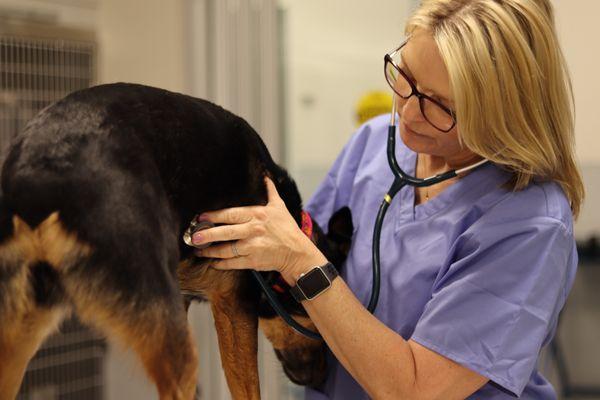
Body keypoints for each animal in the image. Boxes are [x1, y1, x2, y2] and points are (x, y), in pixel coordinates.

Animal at [0, 83, 352, 398]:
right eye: (318, 325)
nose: (320, 382)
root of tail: (40, 175)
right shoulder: (234, 304)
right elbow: (247, 389)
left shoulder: (192, 300)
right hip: (168, 333)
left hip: (20, 325)